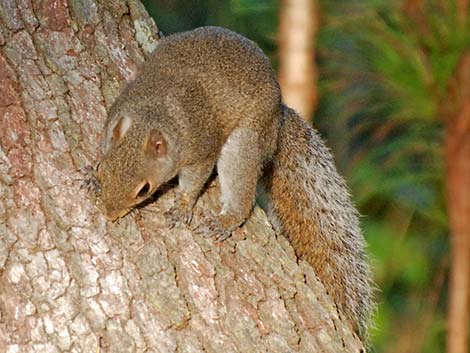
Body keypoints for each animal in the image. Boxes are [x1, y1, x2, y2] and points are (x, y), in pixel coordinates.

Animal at [96, 26, 374, 340]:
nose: (109, 214)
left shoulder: (201, 150)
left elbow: (194, 180)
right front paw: (88, 175)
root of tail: (278, 116)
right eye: (103, 169)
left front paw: (182, 206)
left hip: (243, 143)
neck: (154, 114)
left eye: (143, 189)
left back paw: (226, 220)